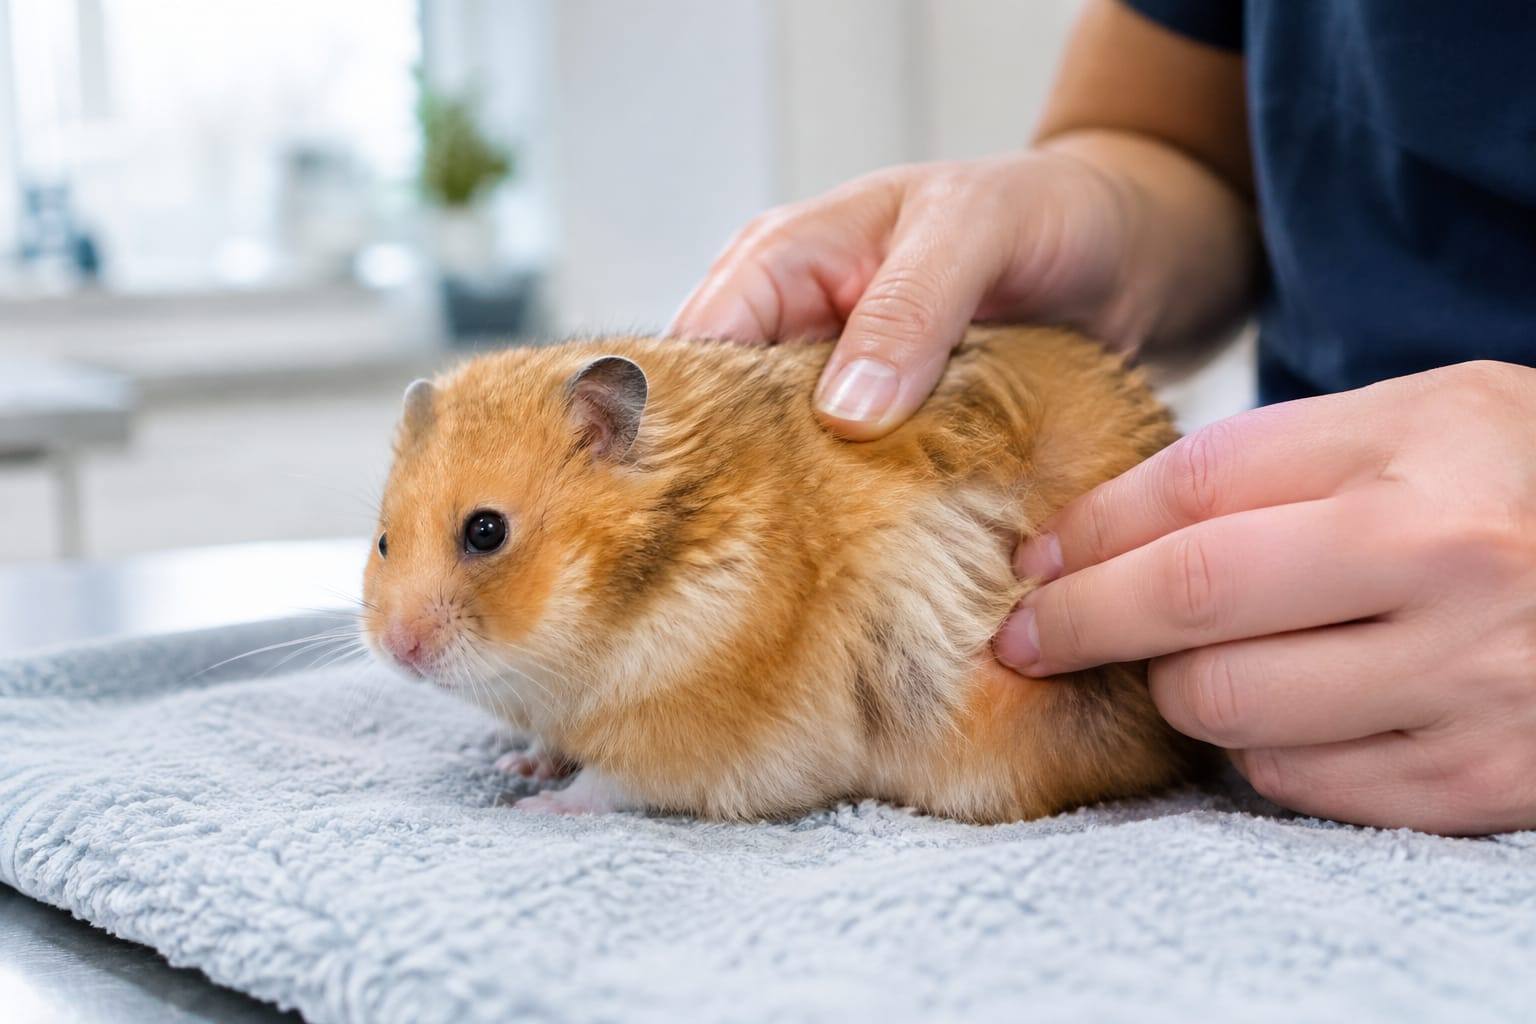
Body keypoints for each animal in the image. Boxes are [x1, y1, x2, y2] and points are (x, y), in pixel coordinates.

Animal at [362, 326, 1206, 823]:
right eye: (382, 541)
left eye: (486, 531)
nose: (400, 650)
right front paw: (521, 762)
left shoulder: (698, 743)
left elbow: (610, 784)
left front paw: (531, 807)